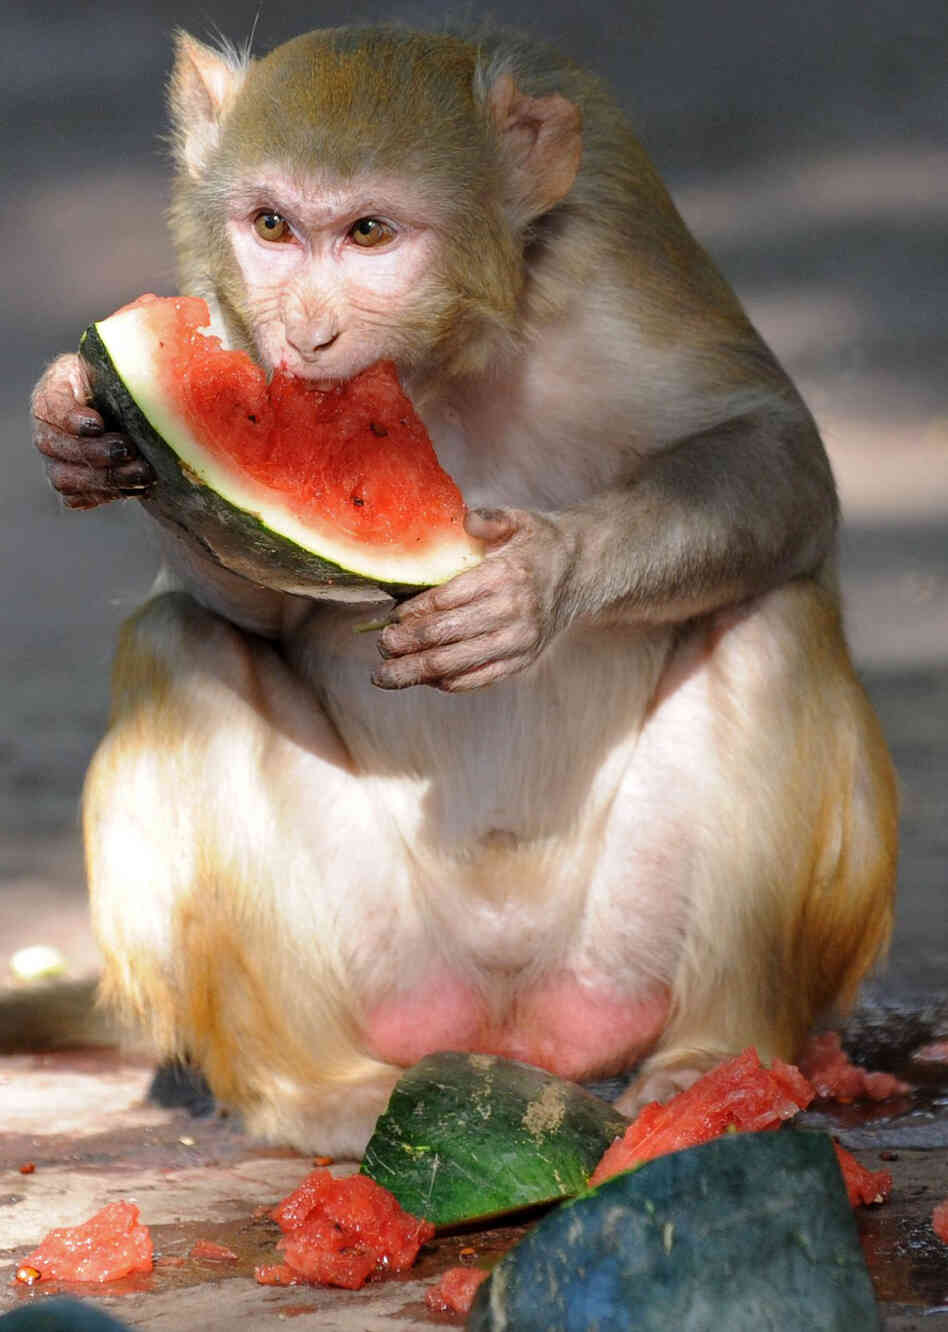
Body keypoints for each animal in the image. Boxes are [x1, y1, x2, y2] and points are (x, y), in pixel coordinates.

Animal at [31, 25, 897, 1157]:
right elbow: (241, 607)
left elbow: (778, 454)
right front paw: (80, 426)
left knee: (773, 624)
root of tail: (510, 1023)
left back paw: (716, 1063)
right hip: (392, 963)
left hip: (615, 956)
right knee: (181, 648)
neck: (444, 360)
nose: (305, 335)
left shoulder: (613, 244)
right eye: (271, 226)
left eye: (369, 232)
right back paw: (312, 1088)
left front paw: (540, 582)